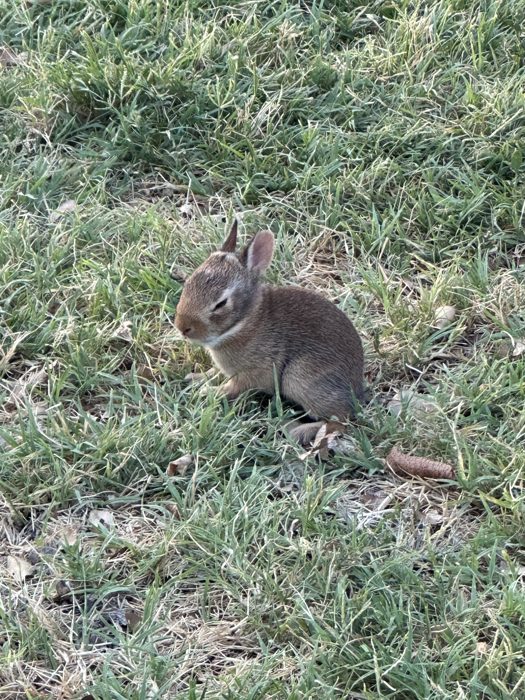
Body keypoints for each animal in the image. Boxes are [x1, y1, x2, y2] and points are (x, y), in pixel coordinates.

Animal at [175, 222, 365, 445]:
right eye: (189, 282)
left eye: (221, 303)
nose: (182, 327)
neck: (245, 321)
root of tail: (357, 391)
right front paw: (196, 378)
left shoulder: (252, 374)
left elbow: (232, 388)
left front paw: (208, 393)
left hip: (300, 379)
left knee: (340, 420)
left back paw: (298, 431)